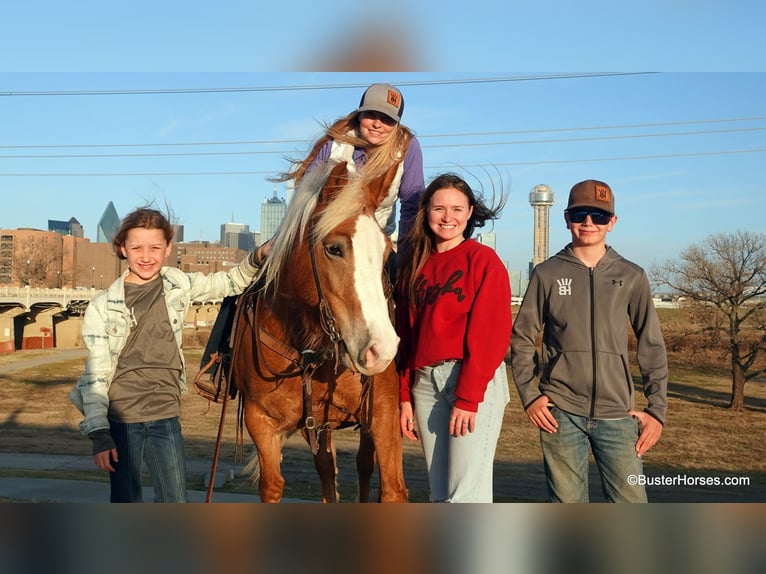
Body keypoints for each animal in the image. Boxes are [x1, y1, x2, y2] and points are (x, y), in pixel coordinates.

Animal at [231, 162, 412, 504]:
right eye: (334, 248)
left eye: (386, 253)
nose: (381, 349)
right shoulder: (261, 422)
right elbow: (274, 485)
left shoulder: (384, 415)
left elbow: (392, 489)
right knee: (327, 469)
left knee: (363, 465)